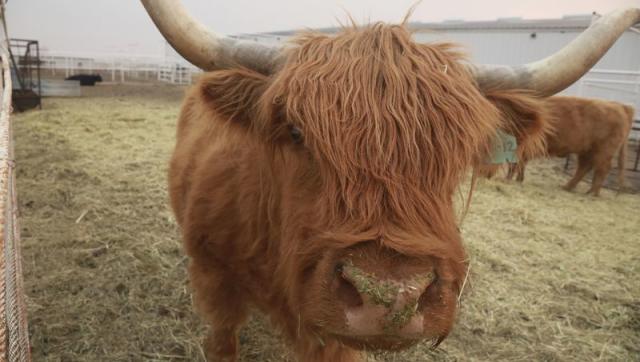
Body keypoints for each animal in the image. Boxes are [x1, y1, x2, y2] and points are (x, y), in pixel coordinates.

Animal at [508, 94, 636, 195]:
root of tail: (621, 106)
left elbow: (516, 163)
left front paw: (511, 179)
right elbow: (520, 164)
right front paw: (518, 179)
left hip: (604, 150)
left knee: (602, 168)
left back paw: (592, 193)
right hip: (587, 150)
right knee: (585, 167)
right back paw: (570, 187)